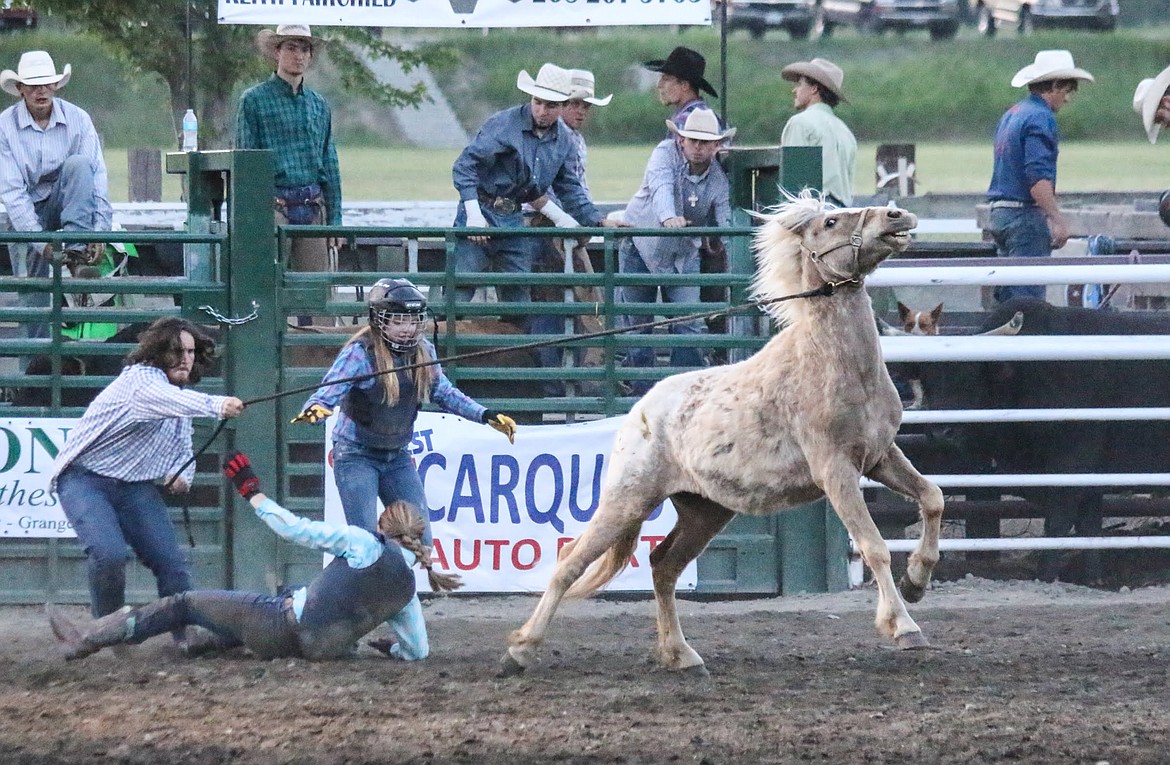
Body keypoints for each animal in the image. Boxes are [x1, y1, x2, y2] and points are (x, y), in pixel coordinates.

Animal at [498, 195, 945, 678]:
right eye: (830, 221)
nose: (897, 216)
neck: (836, 364)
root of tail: (638, 413)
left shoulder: (880, 457)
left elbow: (932, 498)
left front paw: (916, 581)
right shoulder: (835, 472)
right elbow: (873, 546)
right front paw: (904, 626)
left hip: (704, 511)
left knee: (663, 566)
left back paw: (682, 655)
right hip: (627, 498)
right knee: (570, 563)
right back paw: (518, 651)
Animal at [889, 299, 1170, 587]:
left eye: (970, 378)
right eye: (928, 380)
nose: (941, 432)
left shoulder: (1071, 466)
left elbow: (1058, 522)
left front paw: (1045, 575)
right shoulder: (1091, 477)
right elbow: (1089, 526)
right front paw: (1093, 578)